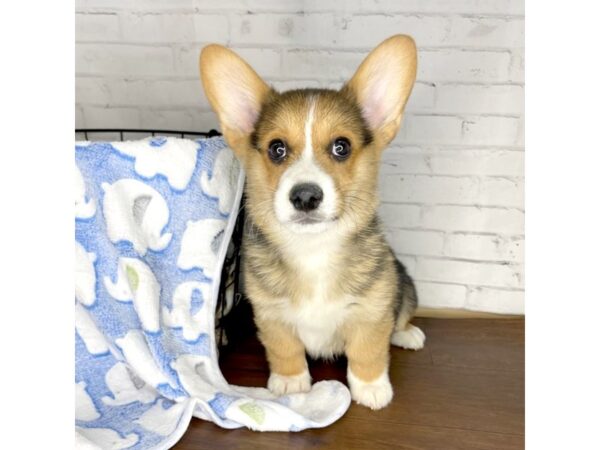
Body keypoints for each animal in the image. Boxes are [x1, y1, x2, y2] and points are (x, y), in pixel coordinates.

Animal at [202, 36, 426, 408]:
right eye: (277, 149)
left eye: (341, 147)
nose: (305, 196)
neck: (313, 250)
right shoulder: (271, 314)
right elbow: (284, 349)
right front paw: (291, 383)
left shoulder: (372, 310)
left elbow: (368, 351)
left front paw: (371, 388)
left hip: (404, 285)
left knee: (403, 314)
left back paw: (408, 334)